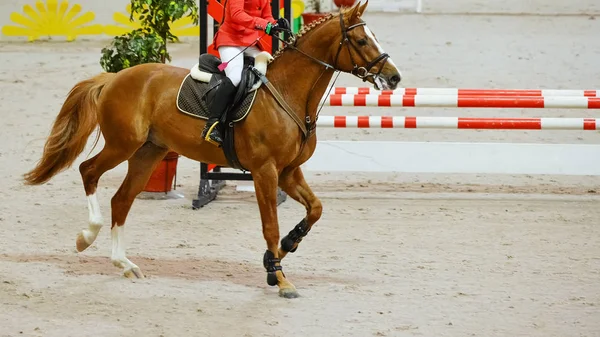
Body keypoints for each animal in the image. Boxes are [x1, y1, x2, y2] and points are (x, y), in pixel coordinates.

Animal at [23, 1, 400, 298]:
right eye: (361, 40)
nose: (393, 78)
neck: (289, 93)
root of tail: (114, 77)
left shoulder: (289, 171)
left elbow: (316, 209)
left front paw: (285, 248)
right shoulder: (266, 171)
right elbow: (270, 225)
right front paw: (279, 277)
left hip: (148, 152)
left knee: (122, 199)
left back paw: (125, 264)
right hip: (122, 144)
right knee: (88, 171)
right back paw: (86, 237)